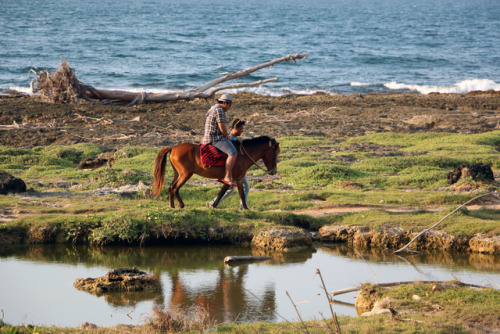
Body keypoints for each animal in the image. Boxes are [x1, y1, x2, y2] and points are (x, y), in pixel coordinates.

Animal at [152, 136, 280, 209]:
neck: (243, 155)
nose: (273, 171)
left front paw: (245, 208)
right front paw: (213, 205)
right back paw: (181, 205)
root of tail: (172, 148)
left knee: (171, 188)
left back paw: (172, 205)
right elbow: (223, 193)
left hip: (178, 174)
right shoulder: (231, 179)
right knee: (175, 188)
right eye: (274, 156)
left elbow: (241, 194)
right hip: (185, 174)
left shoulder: (238, 179)